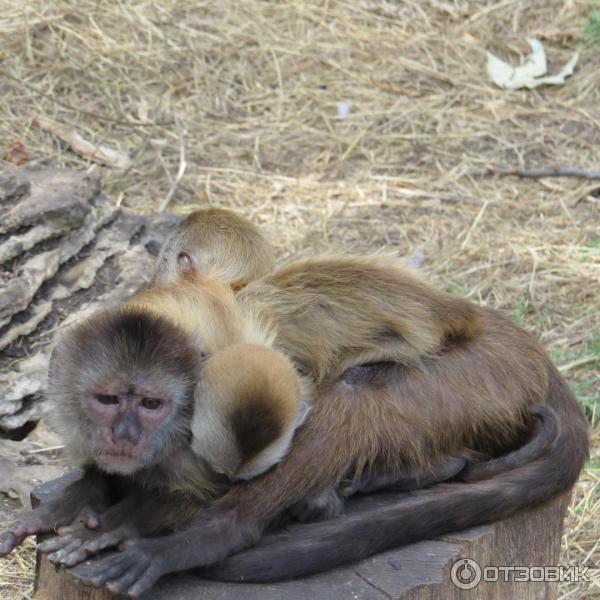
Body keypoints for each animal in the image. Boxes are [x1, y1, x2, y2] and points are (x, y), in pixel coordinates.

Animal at [0, 213, 592, 596]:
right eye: (106, 401)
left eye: (149, 404)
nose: (124, 435)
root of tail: (519, 341)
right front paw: (74, 500)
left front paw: (128, 523)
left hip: (479, 372)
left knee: (353, 394)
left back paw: (213, 537)